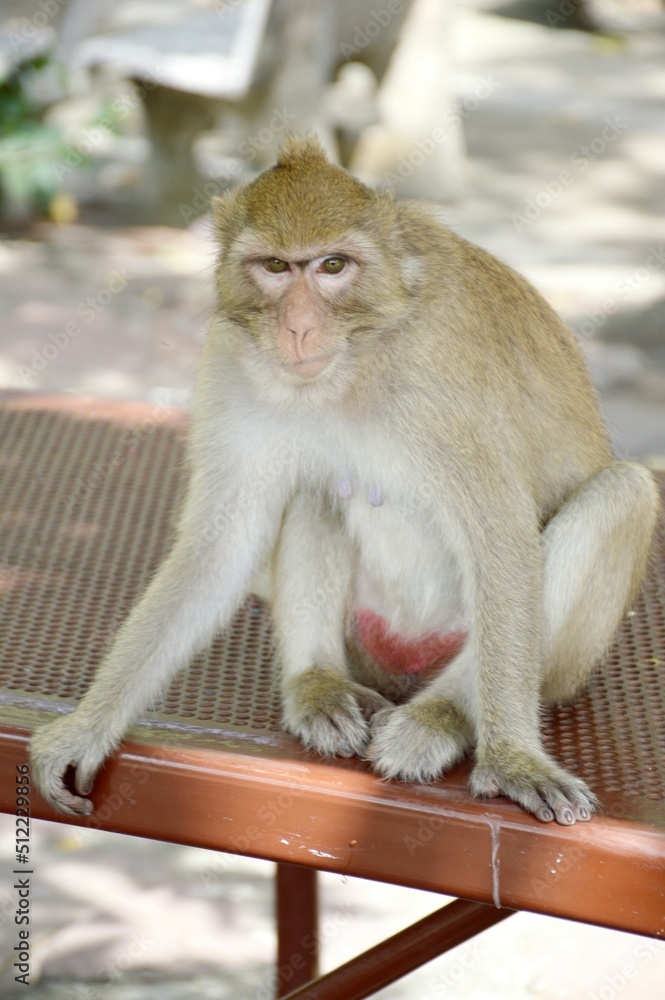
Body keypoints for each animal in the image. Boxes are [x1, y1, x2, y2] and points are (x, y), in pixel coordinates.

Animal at [30, 134, 659, 825]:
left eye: (333, 266)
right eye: (276, 267)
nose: (299, 326)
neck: (356, 362)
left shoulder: (444, 378)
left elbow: (501, 542)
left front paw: (513, 759)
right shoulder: (228, 357)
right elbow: (220, 546)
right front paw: (89, 725)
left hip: (545, 667)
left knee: (621, 494)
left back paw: (445, 716)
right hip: (366, 641)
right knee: (314, 487)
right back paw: (318, 683)